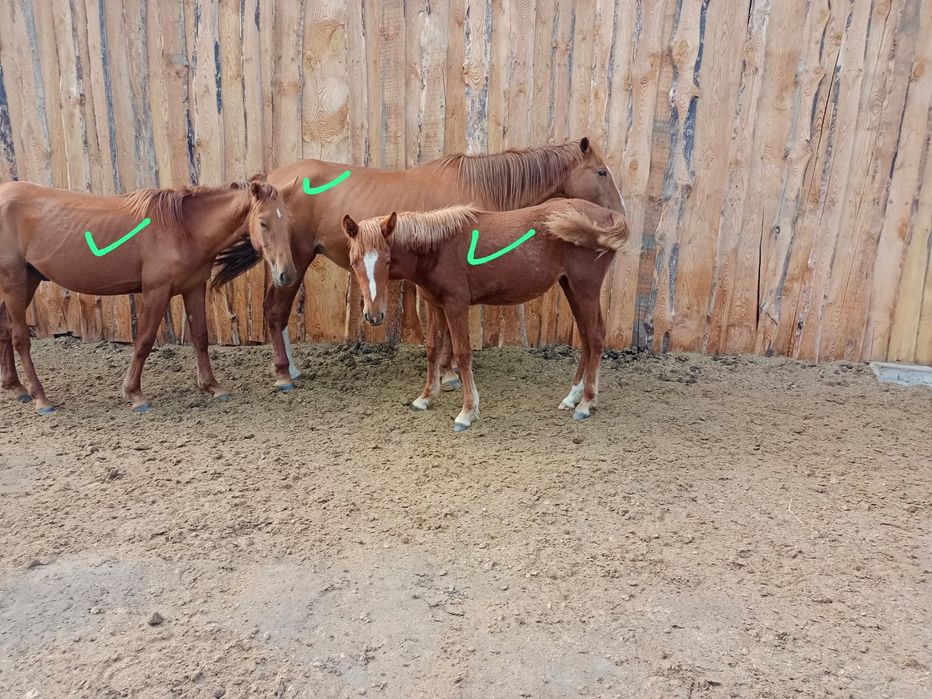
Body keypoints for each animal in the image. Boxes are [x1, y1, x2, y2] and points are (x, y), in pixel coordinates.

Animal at [0, 179, 297, 414]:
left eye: (289, 222)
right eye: (263, 222)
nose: (287, 275)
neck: (184, 228)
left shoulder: (194, 287)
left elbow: (200, 337)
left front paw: (212, 386)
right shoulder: (157, 292)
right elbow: (143, 341)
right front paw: (134, 394)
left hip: (26, 281)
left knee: (4, 329)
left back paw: (16, 388)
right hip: (15, 282)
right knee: (20, 338)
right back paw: (41, 398)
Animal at [211, 137, 626, 393]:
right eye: (602, 171)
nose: (620, 213)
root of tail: (273, 181)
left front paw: (444, 371)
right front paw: (451, 372)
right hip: (293, 261)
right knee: (274, 311)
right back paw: (284, 374)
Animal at [340, 199, 628, 431]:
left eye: (387, 260)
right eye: (354, 261)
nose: (373, 315)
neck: (438, 248)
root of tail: (607, 214)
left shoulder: (455, 305)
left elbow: (462, 353)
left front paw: (467, 413)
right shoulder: (435, 305)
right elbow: (433, 348)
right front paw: (425, 398)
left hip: (585, 289)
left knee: (595, 337)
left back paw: (586, 403)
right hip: (570, 287)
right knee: (586, 338)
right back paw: (572, 398)